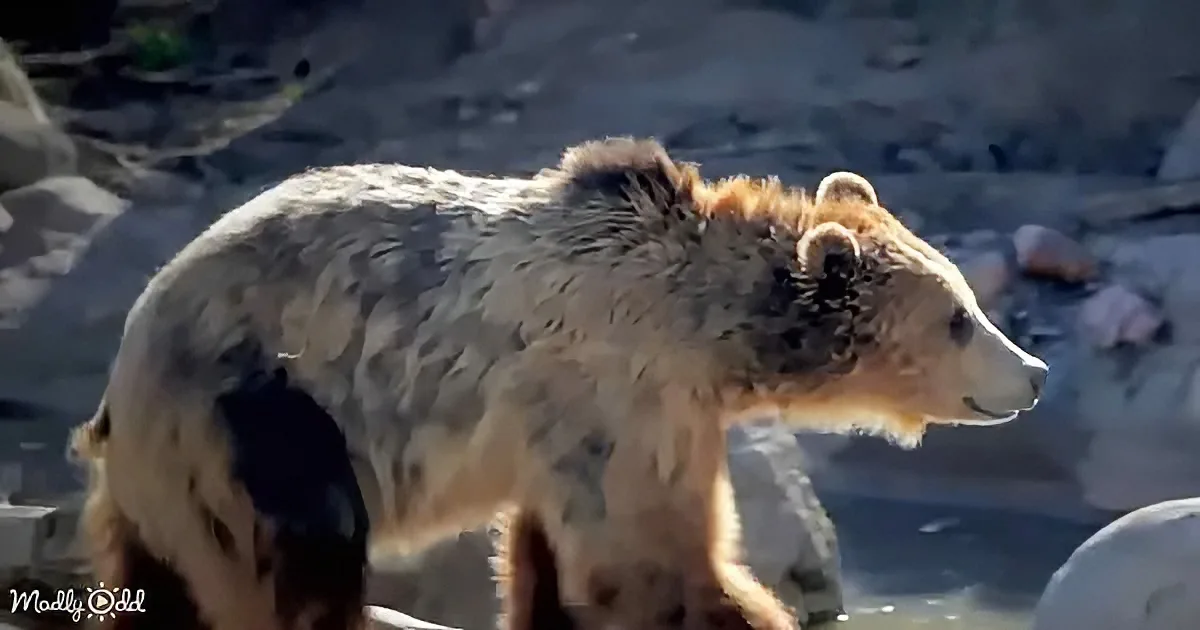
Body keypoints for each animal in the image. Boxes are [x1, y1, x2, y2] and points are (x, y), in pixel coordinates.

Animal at [68, 136, 1047, 630]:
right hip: (264, 419)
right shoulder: (624, 391)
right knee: (298, 569)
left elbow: (557, 562)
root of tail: (122, 364)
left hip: (175, 477)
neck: (705, 328)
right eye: (959, 315)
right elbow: (650, 564)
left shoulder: (583, 425)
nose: (1034, 375)